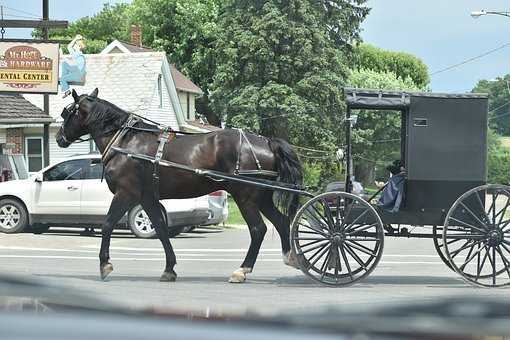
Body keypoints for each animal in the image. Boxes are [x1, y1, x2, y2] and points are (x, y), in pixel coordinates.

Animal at [55, 87, 302, 282]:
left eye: (67, 112)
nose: (59, 138)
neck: (125, 141)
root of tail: (266, 142)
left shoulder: (126, 193)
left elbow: (107, 224)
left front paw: (104, 265)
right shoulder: (147, 197)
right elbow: (161, 229)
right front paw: (169, 269)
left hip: (246, 196)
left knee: (258, 229)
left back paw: (242, 270)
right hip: (261, 196)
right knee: (281, 221)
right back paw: (291, 257)